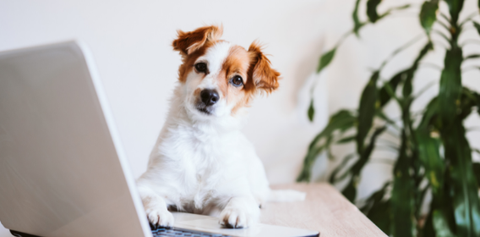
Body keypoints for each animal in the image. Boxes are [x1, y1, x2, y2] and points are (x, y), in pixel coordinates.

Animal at [137, 25, 306, 229]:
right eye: (201, 66)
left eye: (237, 80)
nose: (209, 95)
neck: (203, 137)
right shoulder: (147, 183)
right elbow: (151, 197)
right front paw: (157, 212)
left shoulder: (237, 191)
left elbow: (242, 200)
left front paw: (237, 213)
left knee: (261, 194)